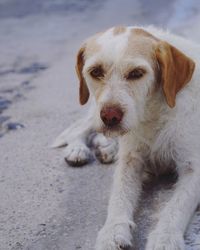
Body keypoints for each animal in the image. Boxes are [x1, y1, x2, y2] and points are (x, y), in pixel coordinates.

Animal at [53, 25, 200, 250]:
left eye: (136, 73)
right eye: (96, 71)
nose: (110, 116)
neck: (153, 112)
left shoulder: (194, 167)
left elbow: (176, 206)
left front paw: (165, 237)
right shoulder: (131, 159)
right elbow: (119, 196)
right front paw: (112, 231)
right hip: (95, 111)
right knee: (80, 127)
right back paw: (78, 148)